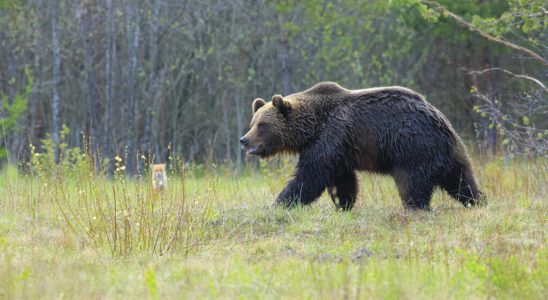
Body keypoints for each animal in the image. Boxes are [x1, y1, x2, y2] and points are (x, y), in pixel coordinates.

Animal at [240, 81, 484, 210]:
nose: (244, 140)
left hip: (413, 148)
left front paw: (280, 202)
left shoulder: (330, 137)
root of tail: (439, 120)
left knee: (413, 184)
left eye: (262, 125)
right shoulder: (339, 150)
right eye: (252, 123)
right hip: (452, 154)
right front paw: (343, 204)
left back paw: (416, 208)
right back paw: (478, 201)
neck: (311, 128)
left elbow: (310, 176)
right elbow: (342, 180)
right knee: (462, 181)